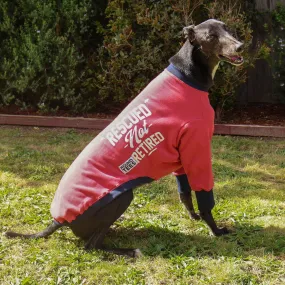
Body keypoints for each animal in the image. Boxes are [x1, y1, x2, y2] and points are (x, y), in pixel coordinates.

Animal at [5, 18, 243, 256]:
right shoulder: (197, 149)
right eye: (211, 36)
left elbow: (184, 193)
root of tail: (59, 220)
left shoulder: (182, 156)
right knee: (91, 246)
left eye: (227, 28)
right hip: (121, 197)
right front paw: (216, 230)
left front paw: (193, 217)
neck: (188, 75)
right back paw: (128, 251)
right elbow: (205, 198)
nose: (240, 46)